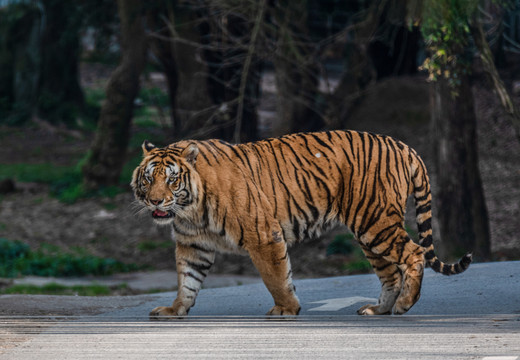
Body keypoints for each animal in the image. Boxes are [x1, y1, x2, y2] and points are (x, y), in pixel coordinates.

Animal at [131, 129, 472, 318]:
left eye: (172, 179)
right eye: (148, 178)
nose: (156, 201)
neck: (189, 209)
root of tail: (403, 145)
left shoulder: (263, 235)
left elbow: (276, 277)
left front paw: (286, 309)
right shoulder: (193, 245)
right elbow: (187, 281)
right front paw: (175, 310)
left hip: (376, 222)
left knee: (414, 254)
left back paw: (404, 305)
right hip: (369, 231)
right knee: (390, 273)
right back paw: (379, 310)